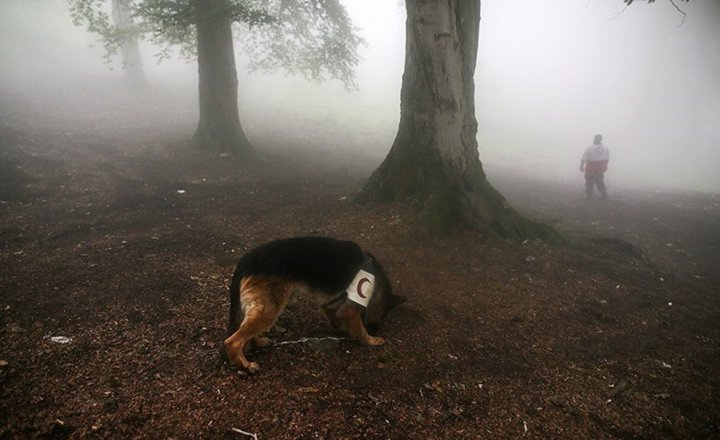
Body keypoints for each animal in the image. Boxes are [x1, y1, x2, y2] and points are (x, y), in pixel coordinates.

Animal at [225, 235, 404, 372]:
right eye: (383, 314)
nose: (374, 329)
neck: (377, 280)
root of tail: (247, 260)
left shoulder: (329, 304)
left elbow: (336, 319)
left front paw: (343, 331)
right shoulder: (350, 309)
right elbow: (359, 328)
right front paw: (370, 340)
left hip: (263, 308)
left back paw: (258, 342)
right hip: (269, 309)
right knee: (232, 341)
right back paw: (245, 365)